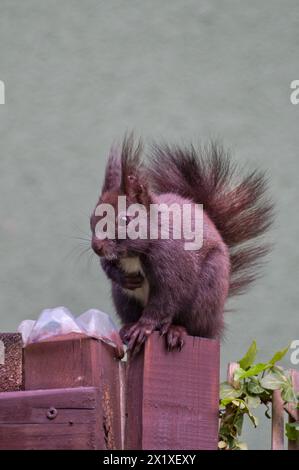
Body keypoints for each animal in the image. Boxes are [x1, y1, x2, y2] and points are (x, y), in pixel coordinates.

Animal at [89, 134, 274, 354]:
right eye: (92, 217)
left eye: (126, 219)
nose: (96, 247)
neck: (134, 254)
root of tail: (216, 323)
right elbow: (107, 266)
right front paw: (123, 277)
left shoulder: (172, 263)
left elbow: (165, 299)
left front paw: (144, 327)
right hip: (123, 299)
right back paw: (127, 327)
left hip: (205, 294)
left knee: (191, 326)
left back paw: (175, 330)